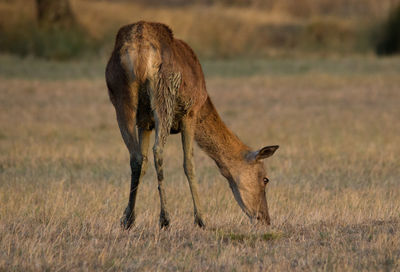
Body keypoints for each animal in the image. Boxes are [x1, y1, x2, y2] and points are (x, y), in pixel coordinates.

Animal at [105, 21, 278, 230]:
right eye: (265, 179)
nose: (266, 219)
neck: (204, 101)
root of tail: (138, 51)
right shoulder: (190, 112)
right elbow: (189, 163)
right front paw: (201, 219)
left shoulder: (144, 122)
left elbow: (143, 163)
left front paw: (125, 217)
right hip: (165, 95)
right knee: (158, 151)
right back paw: (165, 218)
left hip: (120, 96)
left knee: (136, 157)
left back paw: (129, 219)